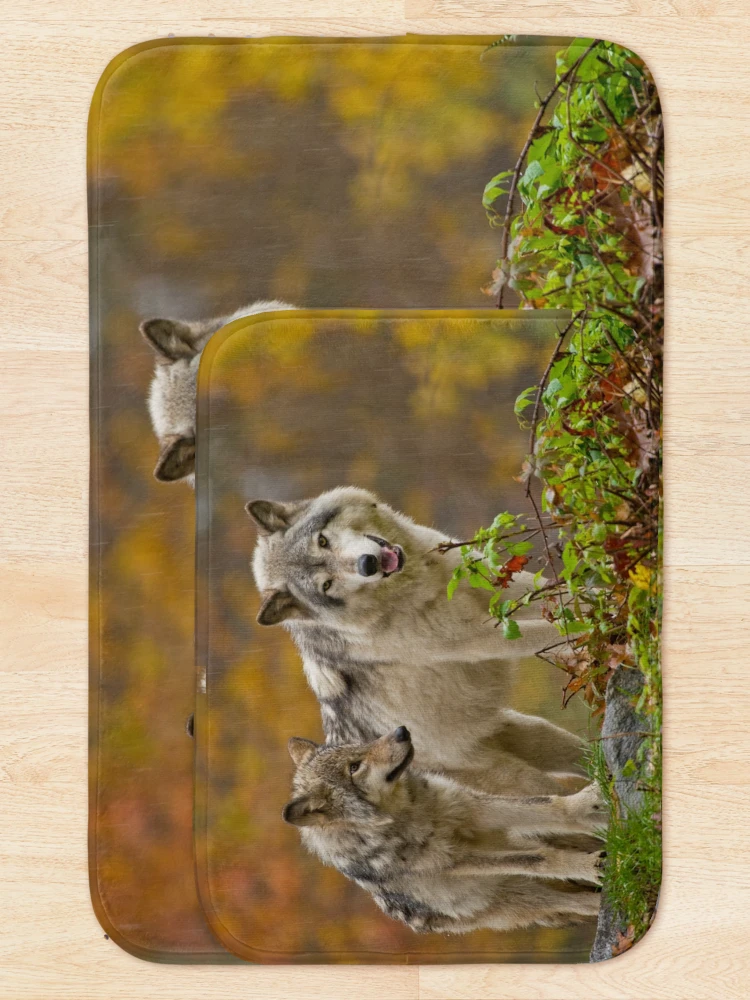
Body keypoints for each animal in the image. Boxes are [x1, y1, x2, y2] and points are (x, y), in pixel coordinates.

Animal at [247, 486, 587, 796]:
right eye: (326, 585)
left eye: (322, 542)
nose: (368, 564)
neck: (416, 587)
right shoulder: (482, 636)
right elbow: (553, 631)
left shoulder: (502, 591)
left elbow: (566, 595)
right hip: (522, 777)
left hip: (535, 734)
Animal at [283, 728, 603, 934]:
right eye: (355, 767)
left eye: (356, 748)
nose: (401, 730)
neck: (408, 816)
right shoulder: (459, 860)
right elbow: (542, 860)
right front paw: (588, 866)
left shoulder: (472, 808)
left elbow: (549, 806)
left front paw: (587, 803)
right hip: (525, 896)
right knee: (579, 902)